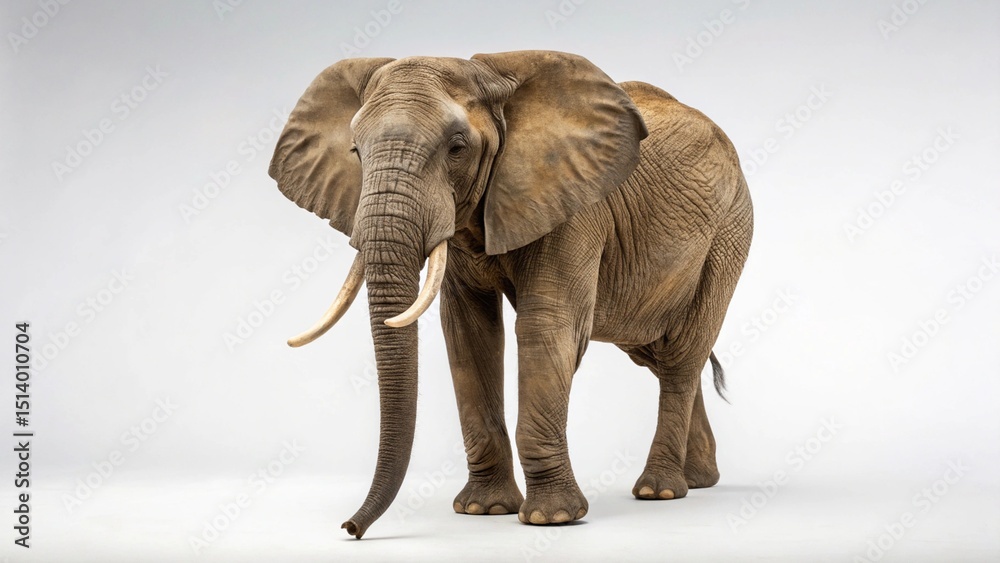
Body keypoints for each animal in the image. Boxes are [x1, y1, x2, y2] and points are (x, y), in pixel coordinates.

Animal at [268, 50, 753, 539]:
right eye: (355, 151)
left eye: (457, 148)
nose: (350, 528)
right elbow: (468, 334)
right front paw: (483, 510)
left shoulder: (574, 204)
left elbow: (547, 327)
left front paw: (550, 518)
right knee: (658, 353)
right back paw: (698, 480)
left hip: (728, 234)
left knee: (682, 355)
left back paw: (660, 490)